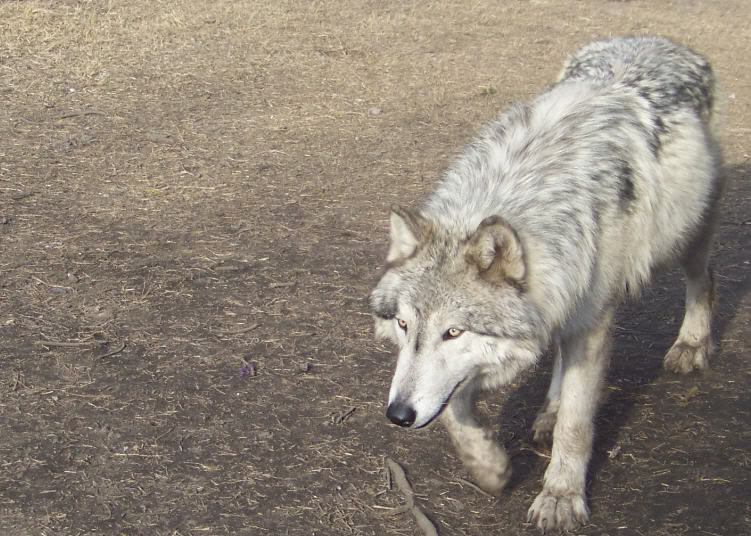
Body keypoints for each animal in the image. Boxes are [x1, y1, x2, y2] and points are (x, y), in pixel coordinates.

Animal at [368, 36, 724, 532]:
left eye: (453, 331)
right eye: (403, 326)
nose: (398, 415)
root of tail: (662, 42)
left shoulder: (591, 322)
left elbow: (577, 424)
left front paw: (560, 497)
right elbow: (455, 412)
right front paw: (489, 466)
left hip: (684, 239)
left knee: (704, 278)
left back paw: (692, 345)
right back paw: (547, 412)